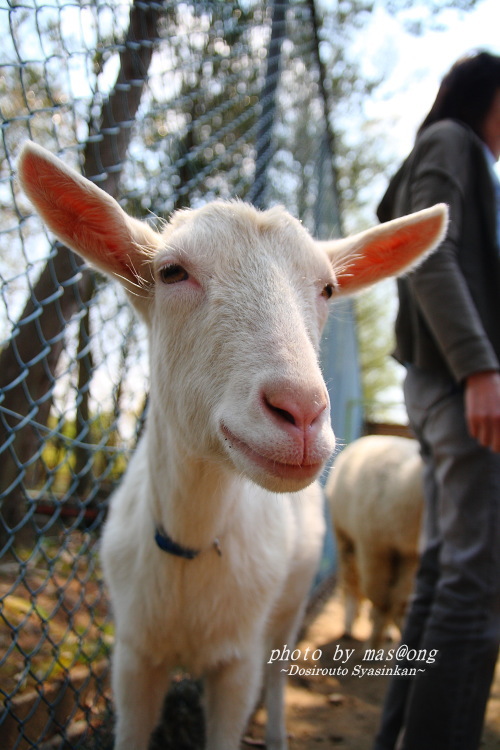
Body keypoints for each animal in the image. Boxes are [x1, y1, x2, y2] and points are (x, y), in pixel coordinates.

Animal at [16, 141, 446, 750]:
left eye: (327, 288)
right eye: (171, 271)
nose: (301, 411)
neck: (192, 545)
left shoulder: (238, 661)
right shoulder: (133, 658)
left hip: (289, 605)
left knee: (279, 672)